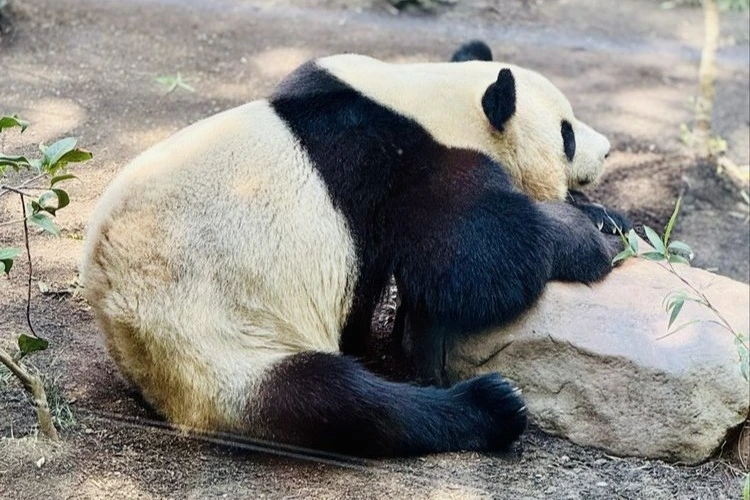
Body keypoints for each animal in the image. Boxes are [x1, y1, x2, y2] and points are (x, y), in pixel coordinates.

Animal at [80, 41, 629, 457]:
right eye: (567, 134)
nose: (606, 150)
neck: (430, 99)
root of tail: (117, 328)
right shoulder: (403, 165)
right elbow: (476, 261)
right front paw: (587, 240)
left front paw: (613, 221)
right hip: (210, 335)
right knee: (335, 401)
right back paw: (490, 408)